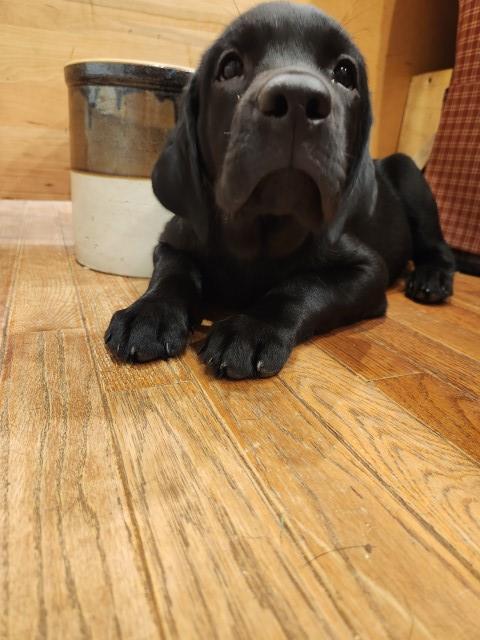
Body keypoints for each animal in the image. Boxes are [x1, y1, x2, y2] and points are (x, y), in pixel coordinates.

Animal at [104, 0, 454, 378]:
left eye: (345, 73)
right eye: (229, 66)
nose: (298, 98)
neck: (261, 230)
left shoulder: (367, 269)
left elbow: (303, 286)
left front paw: (251, 328)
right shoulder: (171, 240)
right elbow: (174, 272)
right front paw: (149, 313)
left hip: (409, 173)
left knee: (438, 247)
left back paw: (432, 279)